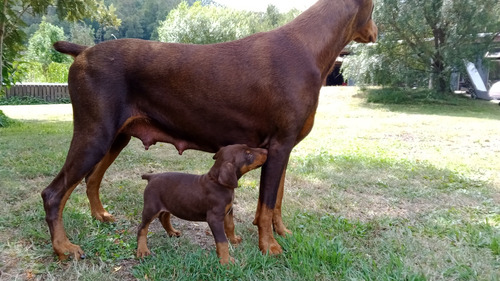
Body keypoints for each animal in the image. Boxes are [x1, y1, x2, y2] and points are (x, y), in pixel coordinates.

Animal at [135, 143, 268, 264]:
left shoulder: (229, 210)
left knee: (164, 217)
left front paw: (234, 240)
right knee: (142, 228)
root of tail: (152, 176)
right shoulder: (214, 218)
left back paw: (172, 232)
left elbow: (230, 226)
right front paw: (226, 261)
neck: (217, 182)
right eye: (248, 154)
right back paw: (142, 250)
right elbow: (222, 241)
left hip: (170, 203)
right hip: (151, 207)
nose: (266, 150)